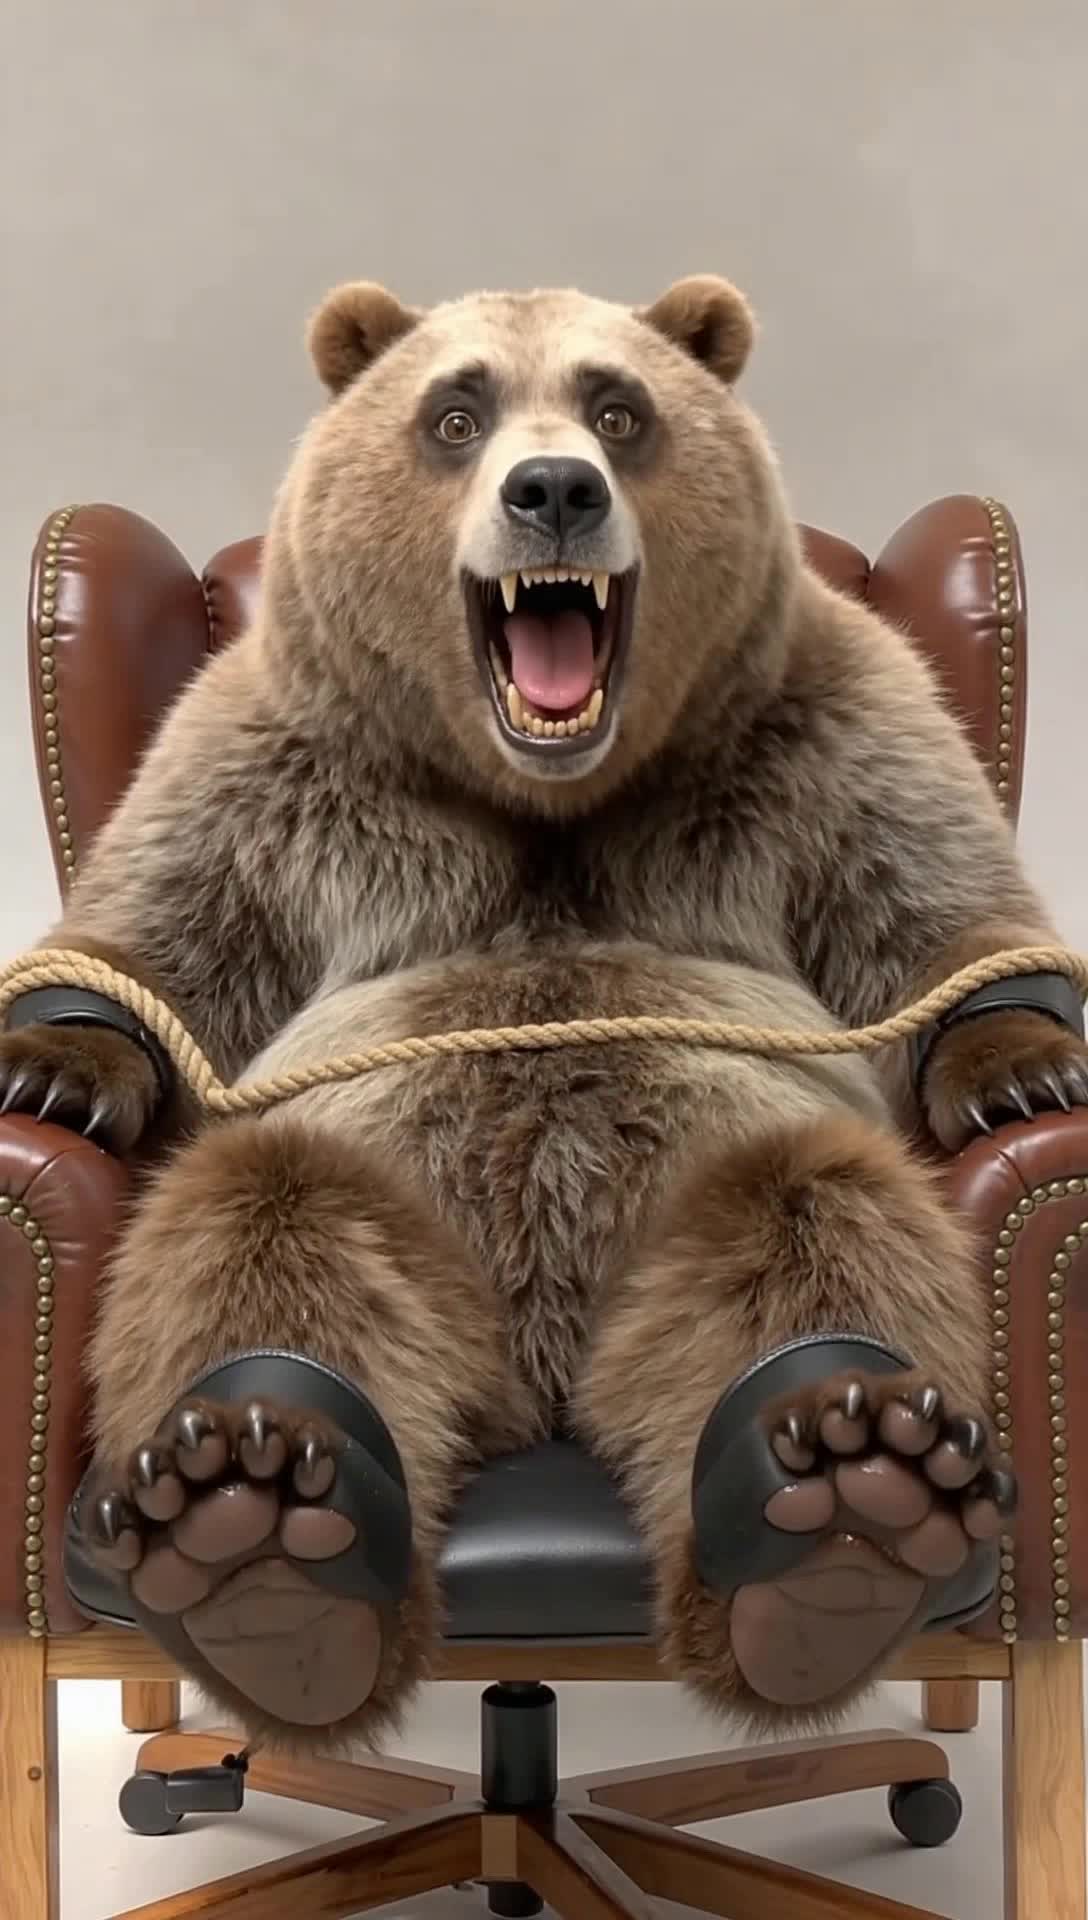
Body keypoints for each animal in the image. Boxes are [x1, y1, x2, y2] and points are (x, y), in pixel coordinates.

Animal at [3, 274, 1086, 1751]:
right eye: (455, 413)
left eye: (617, 409)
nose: (555, 489)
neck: (545, 794)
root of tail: (541, 1375)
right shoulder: (276, 757)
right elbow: (160, 937)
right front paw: (53, 1070)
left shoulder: (820, 726)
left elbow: (935, 915)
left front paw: (1024, 1070)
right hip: (393, 1188)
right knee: (259, 1217)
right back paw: (252, 1525)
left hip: (693, 1185)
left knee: (811, 1212)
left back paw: (848, 1497)